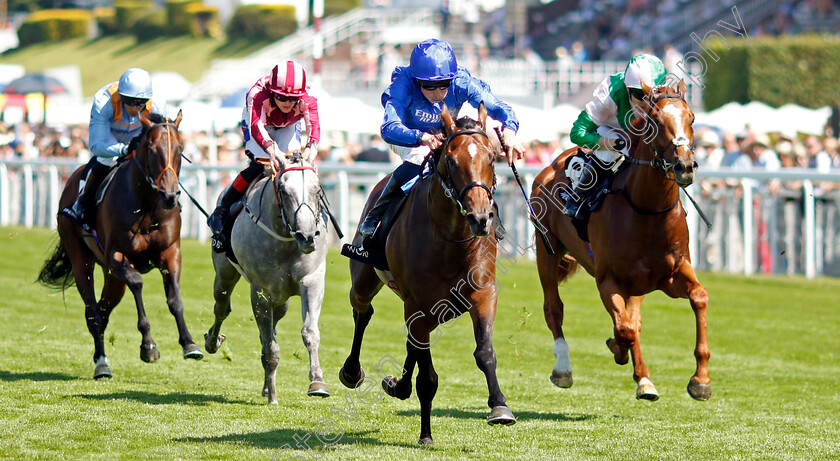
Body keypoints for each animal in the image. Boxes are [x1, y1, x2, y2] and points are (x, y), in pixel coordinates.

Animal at [38, 110, 204, 378]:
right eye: (150, 147)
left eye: (180, 148)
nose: (170, 196)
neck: (147, 207)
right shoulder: (116, 256)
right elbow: (137, 283)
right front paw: (148, 346)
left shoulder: (170, 253)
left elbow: (175, 299)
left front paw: (189, 344)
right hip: (81, 258)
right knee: (93, 312)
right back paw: (102, 363)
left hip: (113, 278)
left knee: (103, 311)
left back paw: (99, 355)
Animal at [204, 151, 332, 402]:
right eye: (284, 191)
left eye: (318, 190)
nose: (307, 236)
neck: (286, 240)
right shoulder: (260, 291)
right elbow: (270, 348)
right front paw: (272, 394)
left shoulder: (312, 280)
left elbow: (309, 332)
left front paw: (317, 382)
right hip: (224, 274)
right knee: (222, 307)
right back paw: (212, 341)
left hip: (282, 299)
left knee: (274, 322)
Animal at [338, 102, 516, 444]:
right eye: (452, 159)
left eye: (492, 156)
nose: (480, 218)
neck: (450, 239)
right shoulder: (417, 305)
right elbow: (428, 378)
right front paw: (425, 434)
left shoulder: (483, 293)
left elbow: (485, 352)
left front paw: (500, 407)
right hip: (366, 280)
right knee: (362, 312)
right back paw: (353, 372)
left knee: (410, 342)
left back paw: (398, 385)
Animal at [532, 81, 708, 400]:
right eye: (655, 121)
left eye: (691, 118)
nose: (684, 166)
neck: (646, 209)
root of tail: (552, 165)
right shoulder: (607, 279)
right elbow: (624, 329)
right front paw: (617, 347)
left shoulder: (671, 273)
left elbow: (698, 297)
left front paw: (701, 380)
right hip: (546, 250)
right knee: (554, 308)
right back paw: (563, 369)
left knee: (632, 318)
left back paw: (643, 379)